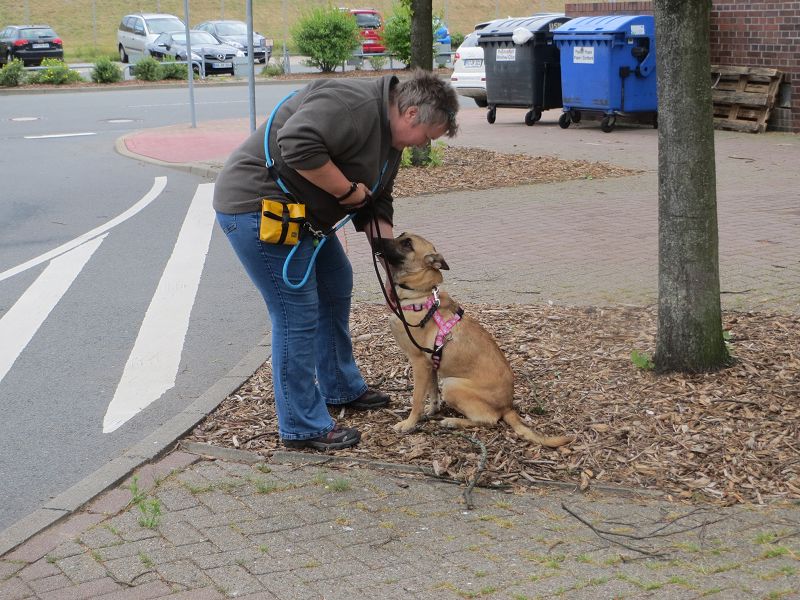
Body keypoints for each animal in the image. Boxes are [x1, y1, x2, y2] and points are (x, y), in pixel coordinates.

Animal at [378, 232, 572, 448]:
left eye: (407, 244)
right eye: (401, 236)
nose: (376, 240)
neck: (420, 295)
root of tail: (507, 407)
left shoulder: (419, 363)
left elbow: (417, 398)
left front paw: (410, 423)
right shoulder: (431, 364)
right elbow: (433, 392)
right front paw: (432, 410)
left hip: (452, 385)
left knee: (489, 420)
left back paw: (453, 421)